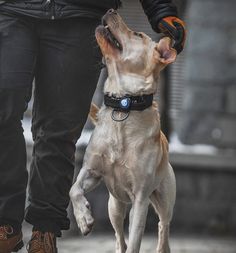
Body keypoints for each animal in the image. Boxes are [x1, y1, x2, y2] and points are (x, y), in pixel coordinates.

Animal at [70, 8, 177, 252]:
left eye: (138, 34)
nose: (111, 9)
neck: (124, 104)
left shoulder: (140, 199)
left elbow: (136, 240)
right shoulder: (91, 171)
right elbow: (74, 189)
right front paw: (83, 219)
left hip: (164, 199)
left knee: (163, 227)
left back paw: (162, 245)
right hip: (115, 206)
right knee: (119, 236)